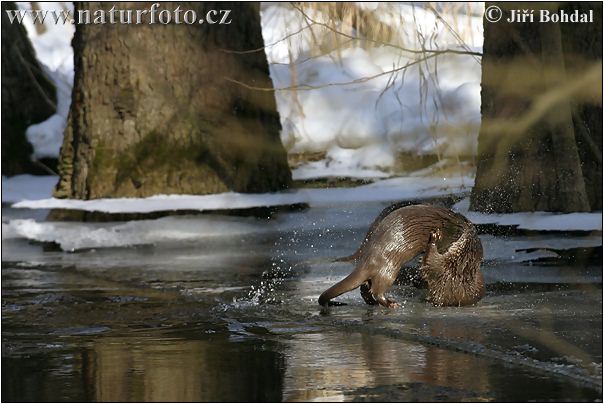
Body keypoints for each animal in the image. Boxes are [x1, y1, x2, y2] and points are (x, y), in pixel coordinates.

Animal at [318, 204, 484, 308]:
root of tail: (368, 260)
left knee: (369, 289)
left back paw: (378, 303)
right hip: (389, 268)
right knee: (376, 289)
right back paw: (389, 303)